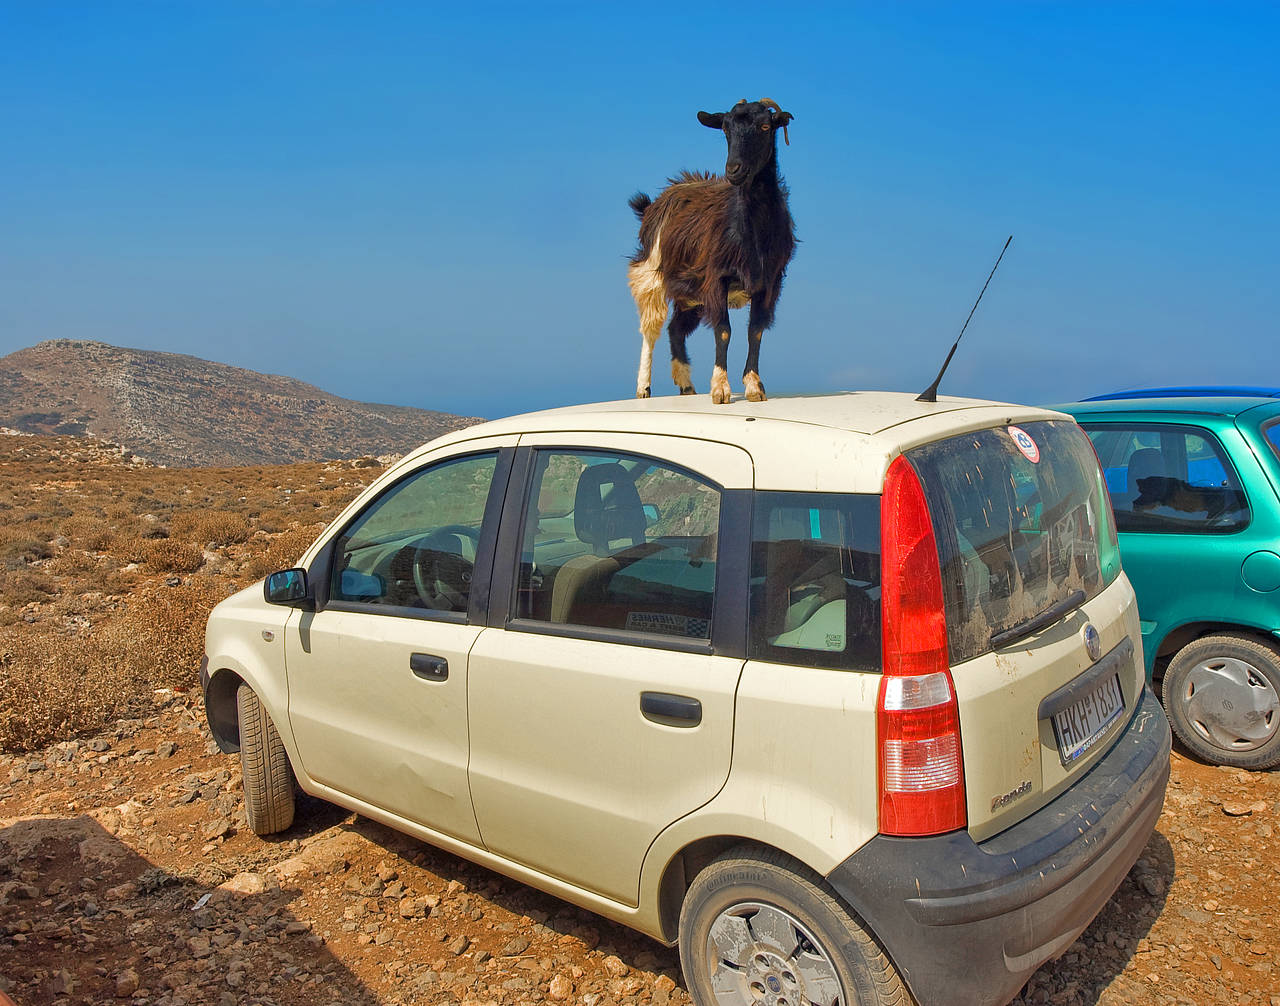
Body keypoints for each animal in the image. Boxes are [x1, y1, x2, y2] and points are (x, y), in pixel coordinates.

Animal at [627, 99, 793, 404]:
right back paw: (643, 387)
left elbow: (755, 331)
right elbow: (724, 331)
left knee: (676, 329)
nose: (734, 169)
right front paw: (720, 389)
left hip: (691, 295)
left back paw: (686, 385)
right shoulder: (716, 278)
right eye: (725, 129)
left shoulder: (769, 282)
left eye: (766, 126)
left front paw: (754, 387)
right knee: (651, 328)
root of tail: (654, 203)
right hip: (651, 274)